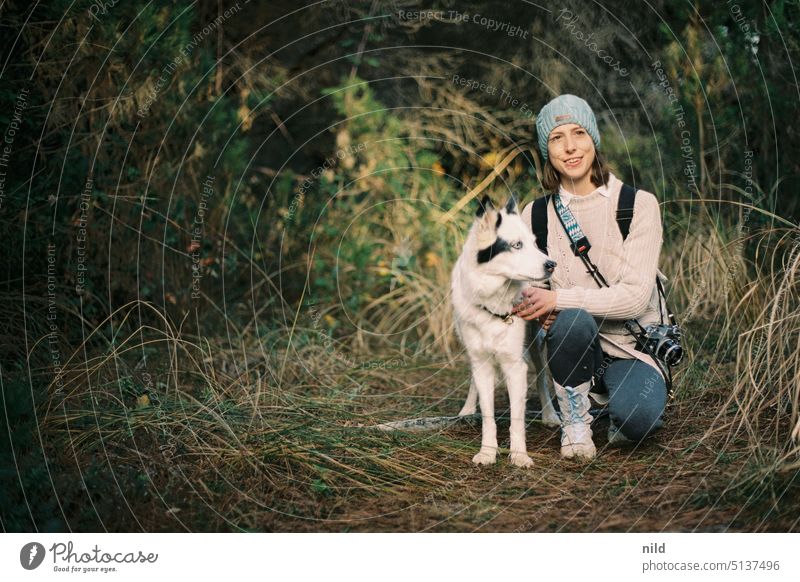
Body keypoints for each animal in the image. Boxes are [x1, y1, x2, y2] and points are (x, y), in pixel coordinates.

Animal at [454, 194, 560, 468]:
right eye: (516, 245)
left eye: (534, 243)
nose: (551, 264)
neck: (493, 302)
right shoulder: (481, 361)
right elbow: (488, 415)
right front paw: (487, 452)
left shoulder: (515, 365)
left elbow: (517, 419)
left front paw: (519, 455)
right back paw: (467, 410)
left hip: (535, 343)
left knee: (541, 378)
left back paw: (549, 415)